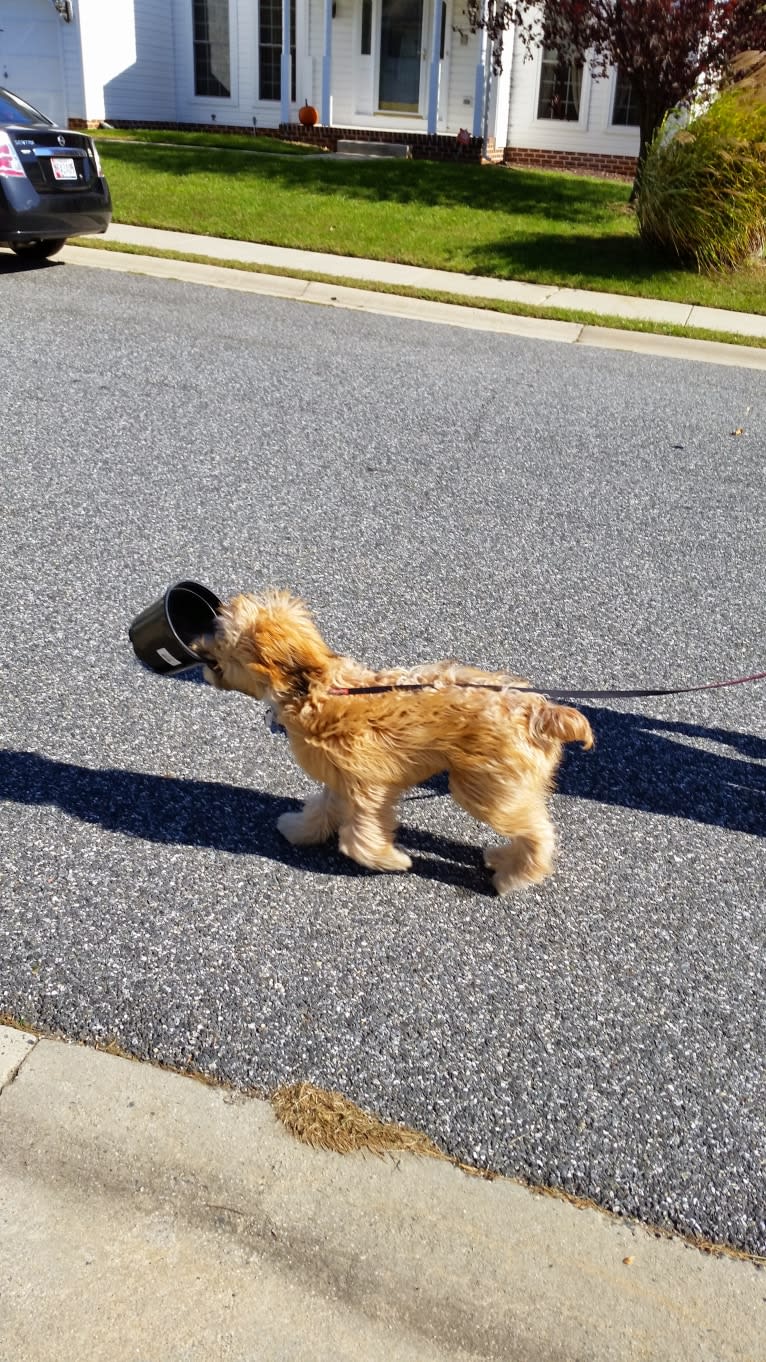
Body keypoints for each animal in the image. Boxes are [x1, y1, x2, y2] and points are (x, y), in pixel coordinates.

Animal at [196, 588, 591, 893]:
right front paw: (300, 830)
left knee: (538, 833)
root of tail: (542, 710)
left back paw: (513, 876)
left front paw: (391, 860)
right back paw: (502, 859)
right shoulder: (340, 777)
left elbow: (359, 838)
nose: (197, 645)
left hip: (487, 787)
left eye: (222, 640)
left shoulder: (369, 784)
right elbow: (322, 807)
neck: (316, 691)